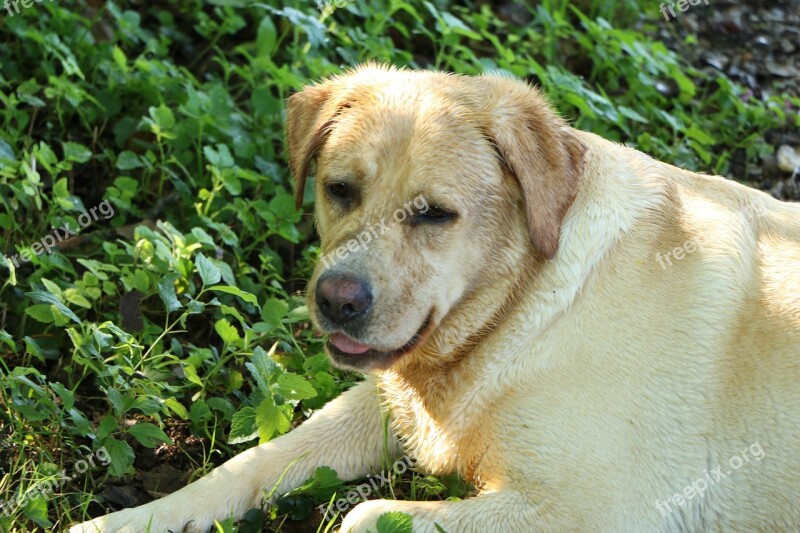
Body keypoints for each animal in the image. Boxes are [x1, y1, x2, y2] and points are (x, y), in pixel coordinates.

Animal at [73, 64, 800, 528]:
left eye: (434, 215)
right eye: (340, 189)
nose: (336, 301)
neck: (522, 307)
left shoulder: (599, 509)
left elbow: (365, 514)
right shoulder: (387, 404)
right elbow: (255, 460)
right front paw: (132, 519)